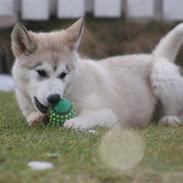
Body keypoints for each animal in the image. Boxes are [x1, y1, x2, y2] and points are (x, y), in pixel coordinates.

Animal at [11, 19, 183, 129]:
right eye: (41, 72)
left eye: (63, 74)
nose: (55, 98)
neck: (71, 88)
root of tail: (157, 56)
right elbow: (32, 117)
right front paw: (36, 118)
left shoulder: (110, 115)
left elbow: (89, 116)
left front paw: (75, 122)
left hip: (162, 75)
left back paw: (170, 119)